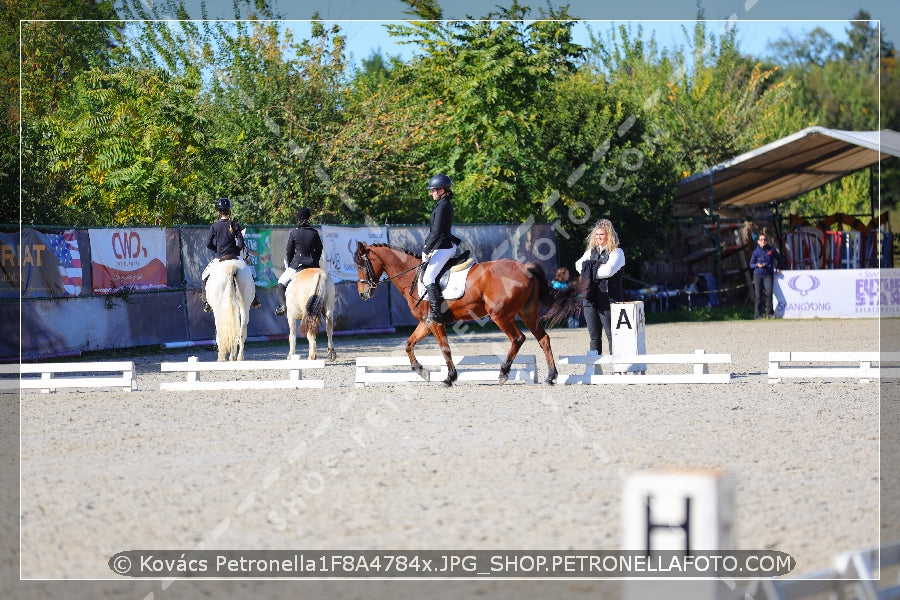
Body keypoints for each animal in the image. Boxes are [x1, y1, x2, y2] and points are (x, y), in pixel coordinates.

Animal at [352, 241, 576, 386]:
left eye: (360, 265)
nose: (362, 294)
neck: (412, 276)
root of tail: (526, 267)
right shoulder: (426, 322)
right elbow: (409, 344)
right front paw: (422, 371)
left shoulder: (434, 323)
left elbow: (445, 349)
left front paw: (449, 378)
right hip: (527, 313)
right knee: (543, 339)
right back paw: (550, 376)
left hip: (500, 315)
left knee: (518, 338)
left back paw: (503, 372)